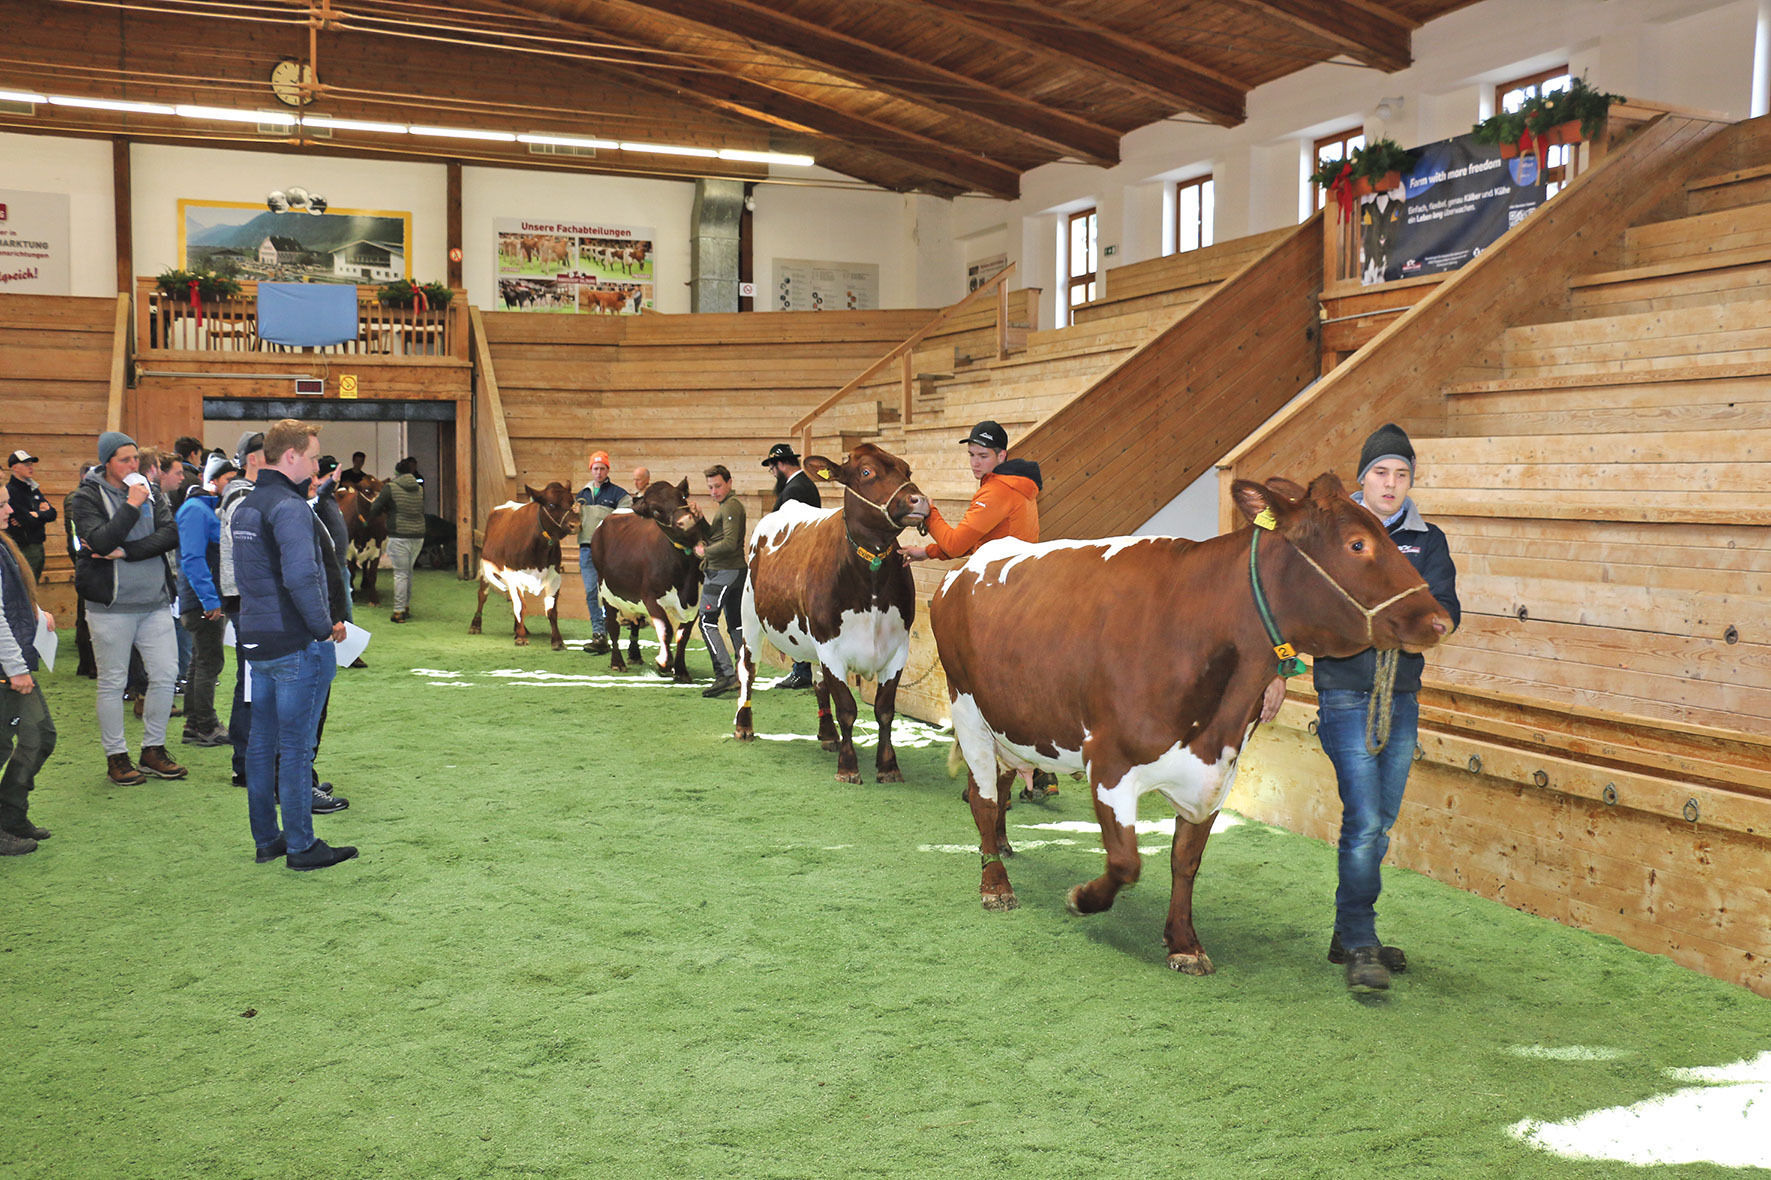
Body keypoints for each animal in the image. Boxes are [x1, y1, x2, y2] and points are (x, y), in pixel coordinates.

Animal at [336, 474, 386, 602]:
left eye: (383, 489)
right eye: (367, 490)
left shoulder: (376, 548)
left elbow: (373, 573)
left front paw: (374, 599)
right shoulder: (348, 550)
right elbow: (352, 573)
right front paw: (352, 595)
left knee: (364, 565)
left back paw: (365, 583)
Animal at [467, 478, 577, 648]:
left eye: (571, 502)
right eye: (551, 505)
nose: (575, 524)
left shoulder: (555, 576)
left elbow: (551, 609)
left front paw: (557, 640)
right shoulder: (514, 575)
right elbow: (521, 605)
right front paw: (521, 637)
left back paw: (518, 627)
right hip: (486, 569)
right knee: (482, 595)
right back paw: (476, 625)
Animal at [595, 474, 704, 680]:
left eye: (682, 498)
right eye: (655, 511)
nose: (687, 522)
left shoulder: (696, 603)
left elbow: (683, 636)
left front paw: (681, 670)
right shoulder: (651, 597)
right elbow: (666, 629)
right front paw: (663, 663)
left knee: (635, 623)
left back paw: (635, 655)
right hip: (606, 593)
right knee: (612, 627)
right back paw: (617, 662)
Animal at [733, 441, 935, 779]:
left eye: (906, 469)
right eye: (866, 472)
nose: (919, 500)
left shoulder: (897, 649)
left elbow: (884, 710)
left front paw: (888, 765)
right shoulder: (831, 646)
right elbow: (848, 709)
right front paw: (849, 766)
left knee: (817, 681)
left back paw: (828, 734)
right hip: (750, 618)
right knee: (748, 670)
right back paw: (743, 726)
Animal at [935, 474, 1445, 970]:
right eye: (1358, 544)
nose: (1440, 620)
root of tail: (967, 564)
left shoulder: (1217, 771)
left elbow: (1185, 861)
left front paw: (1183, 941)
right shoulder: (1109, 761)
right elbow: (1126, 861)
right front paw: (1083, 898)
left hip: (1009, 723)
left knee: (1001, 784)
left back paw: (1001, 846)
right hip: (968, 709)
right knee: (982, 798)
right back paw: (995, 885)